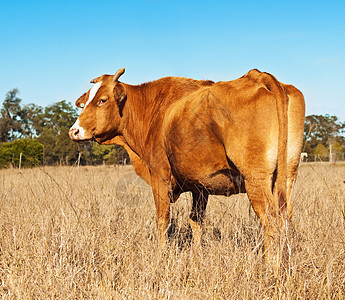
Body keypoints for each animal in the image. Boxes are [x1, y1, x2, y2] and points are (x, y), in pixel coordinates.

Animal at [69, 68, 304, 255]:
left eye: (102, 100)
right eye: (84, 103)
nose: (74, 131)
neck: (151, 110)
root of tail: (258, 76)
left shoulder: (160, 174)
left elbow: (163, 219)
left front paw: (161, 254)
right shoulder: (200, 187)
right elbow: (196, 221)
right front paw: (197, 252)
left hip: (256, 179)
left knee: (270, 219)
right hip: (287, 177)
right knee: (285, 216)